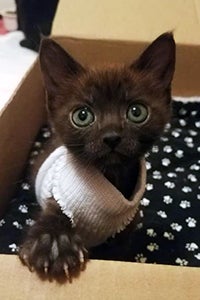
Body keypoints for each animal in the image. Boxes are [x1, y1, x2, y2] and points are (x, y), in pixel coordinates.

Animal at [18, 32, 175, 282]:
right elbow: (55, 213)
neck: (110, 178)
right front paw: (53, 243)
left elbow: (119, 252)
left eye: (137, 112)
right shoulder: (59, 196)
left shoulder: (127, 229)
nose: (111, 137)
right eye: (82, 116)